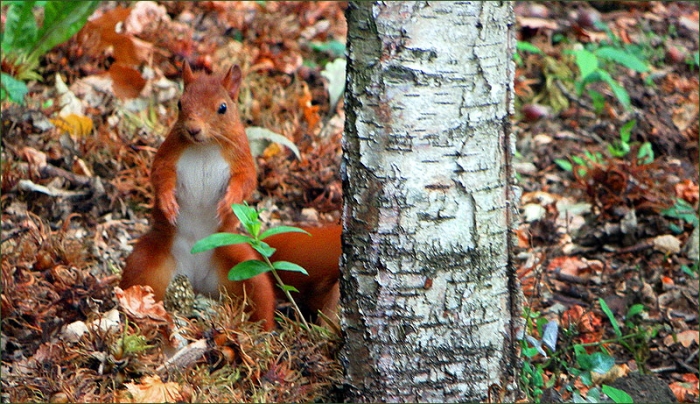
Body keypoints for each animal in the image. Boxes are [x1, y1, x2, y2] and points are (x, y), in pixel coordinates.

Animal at [119, 62, 341, 330]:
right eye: (180, 103)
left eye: (222, 108)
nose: (193, 129)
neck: (205, 146)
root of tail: (197, 279)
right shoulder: (167, 154)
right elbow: (160, 176)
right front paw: (167, 203)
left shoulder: (242, 157)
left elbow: (246, 181)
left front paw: (228, 202)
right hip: (147, 266)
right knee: (137, 279)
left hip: (245, 268)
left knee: (261, 296)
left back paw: (263, 330)